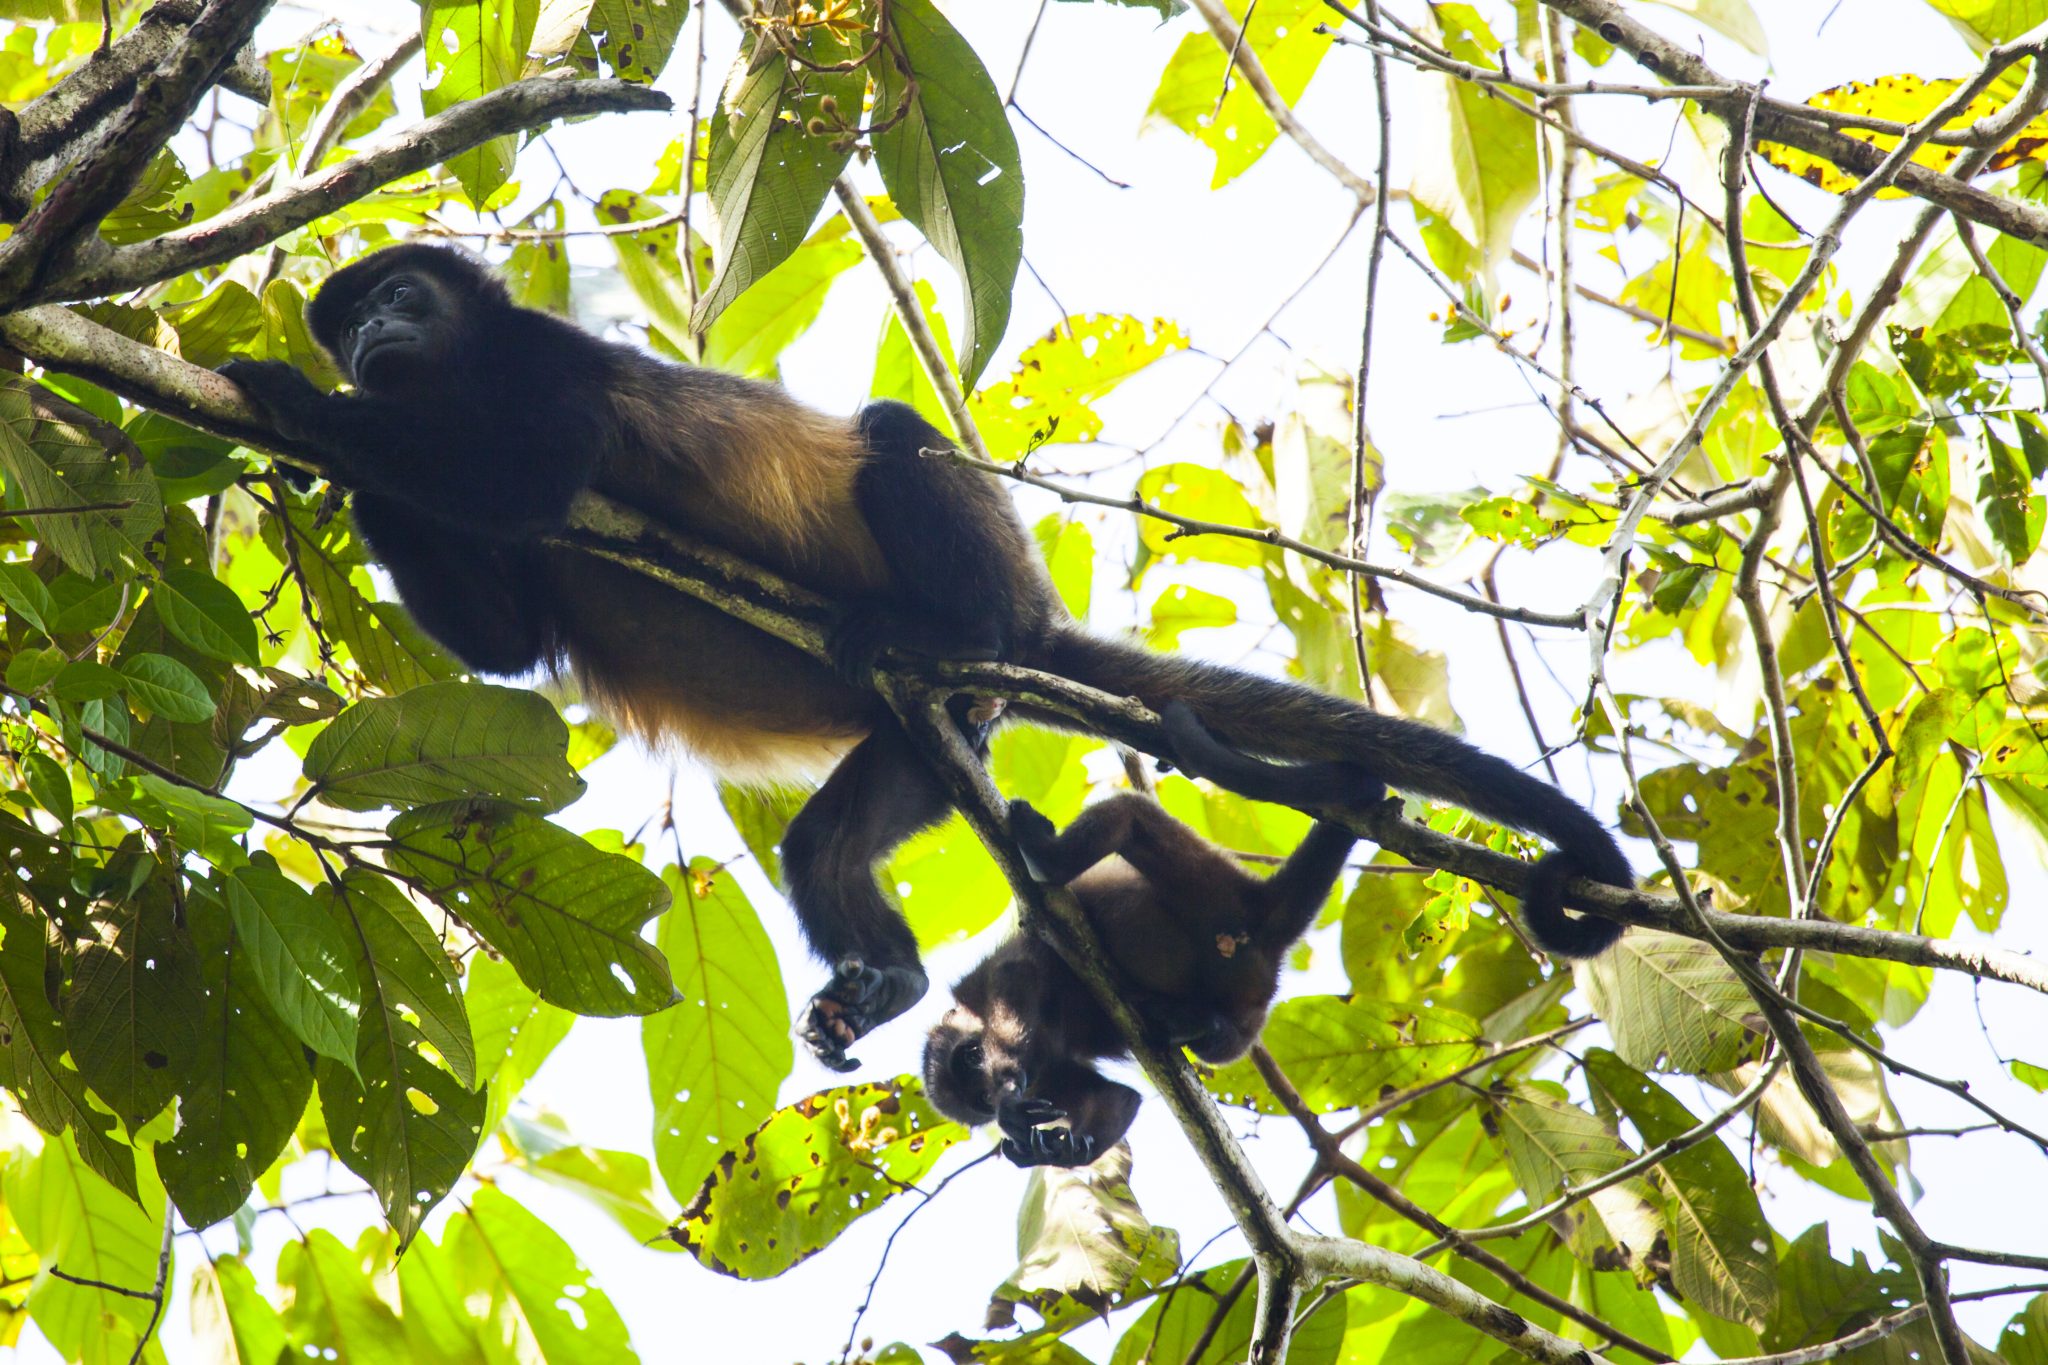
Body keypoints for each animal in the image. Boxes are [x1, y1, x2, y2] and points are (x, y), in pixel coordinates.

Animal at [220, 243, 1628, 1071]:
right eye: (355, 318)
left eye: (401, 297)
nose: (364, 339)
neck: (448, 384)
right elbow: (507, 644)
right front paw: (322, 448)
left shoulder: (539, 363)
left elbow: (537, 476)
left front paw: (293, 406)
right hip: (921, 740)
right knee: (823, 847)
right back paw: (883, 977)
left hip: (975, 623)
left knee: (897, 438)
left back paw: (950, 625)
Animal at [923, 703, 1380, 1167]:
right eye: (977, 1096)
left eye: (974, 1057)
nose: (994, 1086)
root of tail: (1264, 914)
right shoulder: (1049, 1074)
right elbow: (1121, 1097)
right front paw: (1059, 1149)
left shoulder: (985, 983)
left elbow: (1020, 972)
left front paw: (1010, 1101)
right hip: (1248, 1003)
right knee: (1220, 1044)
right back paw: (1192, 1024)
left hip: (1214, 892)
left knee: (1129, 813)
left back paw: (1047, 855)